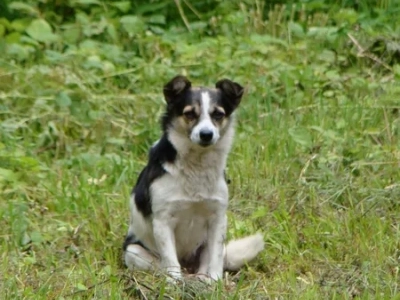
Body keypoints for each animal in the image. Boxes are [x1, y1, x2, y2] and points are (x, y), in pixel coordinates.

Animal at [123, 75, 264, 282]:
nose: (206, 134)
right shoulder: (163, 220)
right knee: (163, 265)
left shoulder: (218, 218)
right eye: (189, 113)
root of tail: (189, 266)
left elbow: (215, 258)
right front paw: (174, 283)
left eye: (218, 114)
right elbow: (170, 260)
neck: (196, 166)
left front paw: (214, 282)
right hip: (133, 251)